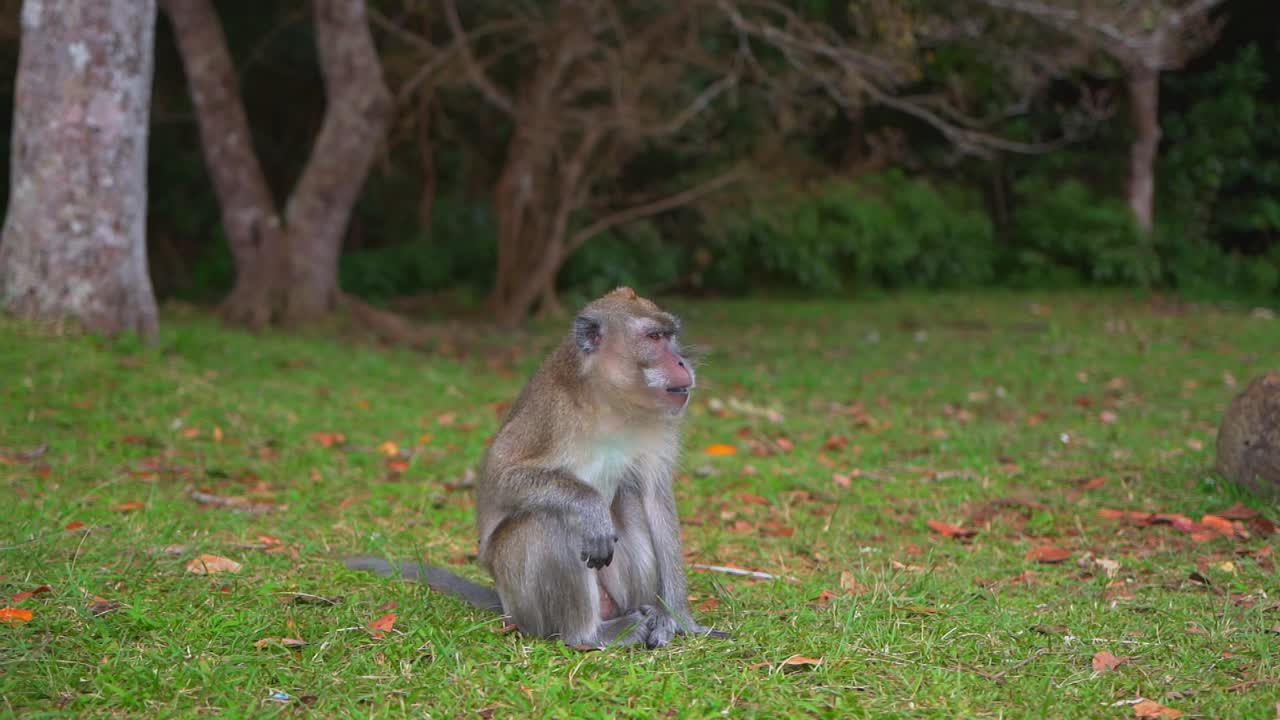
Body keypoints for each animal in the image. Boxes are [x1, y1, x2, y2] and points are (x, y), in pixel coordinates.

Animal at [345, 287, 728, 649]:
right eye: (654, 337)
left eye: (670, 335)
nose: (681, 361)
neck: (611, 402)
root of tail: (506, 606)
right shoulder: (550, 414)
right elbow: (501, 477)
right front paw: (590, 505)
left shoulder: (660, 423)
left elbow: (655, 500)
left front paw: (680, 620)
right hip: (522, 599)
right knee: (551, 520)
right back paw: (590, 634)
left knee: (628, 495)